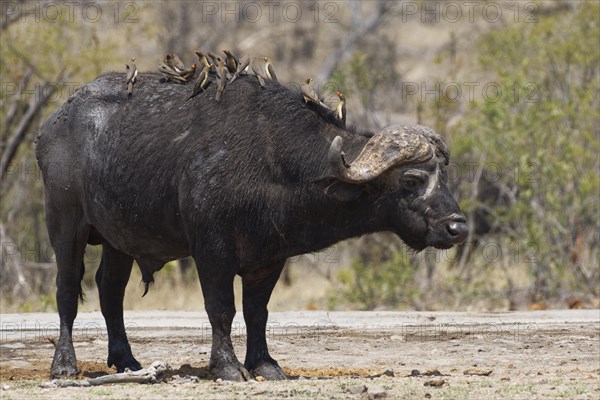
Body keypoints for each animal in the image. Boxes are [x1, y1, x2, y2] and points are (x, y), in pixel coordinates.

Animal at [36, 72, 468, 382]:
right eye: (412, 180)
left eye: (445, 178)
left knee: (110, 290)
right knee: (66, 291)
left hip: (118, 240)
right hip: (65, 223)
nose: (458, 228)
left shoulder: (269, 259)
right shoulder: (211, 252)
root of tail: (52, 125)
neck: (274, 159)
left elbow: (257, 311)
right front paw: (227, 366)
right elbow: (221, 308)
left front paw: (264, 363)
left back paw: (125, 360)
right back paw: (64, 364)